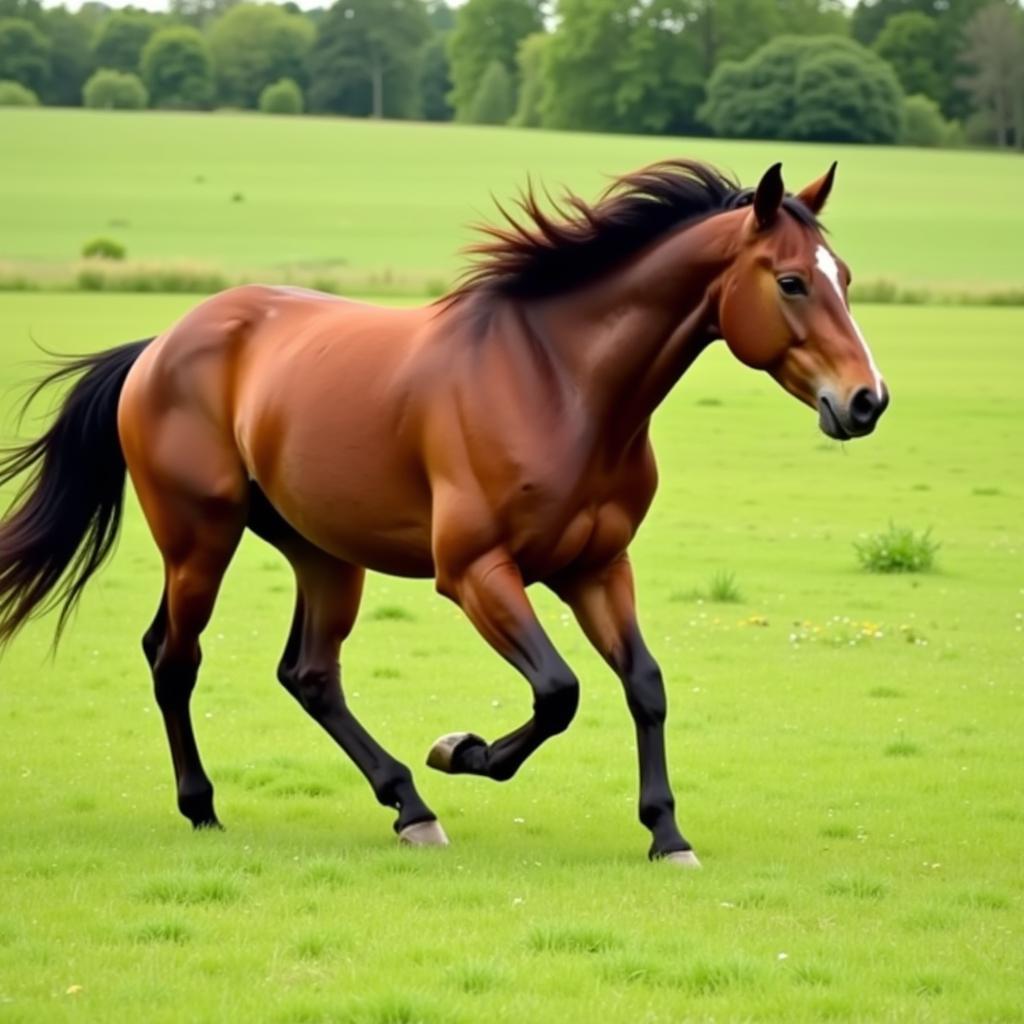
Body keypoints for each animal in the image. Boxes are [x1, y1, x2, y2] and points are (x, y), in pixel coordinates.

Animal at [0, 159, 888, 864]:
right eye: (791, 281)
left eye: (845, 275)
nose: (866, 401)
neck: (562, 385)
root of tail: (159, 346)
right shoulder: (474, 573)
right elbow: (559, 690)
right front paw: (461, 750)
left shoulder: (598, 567)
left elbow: (644, 684)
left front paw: (667, 834)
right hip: (199, 542)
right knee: (173, 658)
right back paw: (206, 807)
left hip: (325, 554)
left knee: (309, 674)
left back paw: (408, 808)